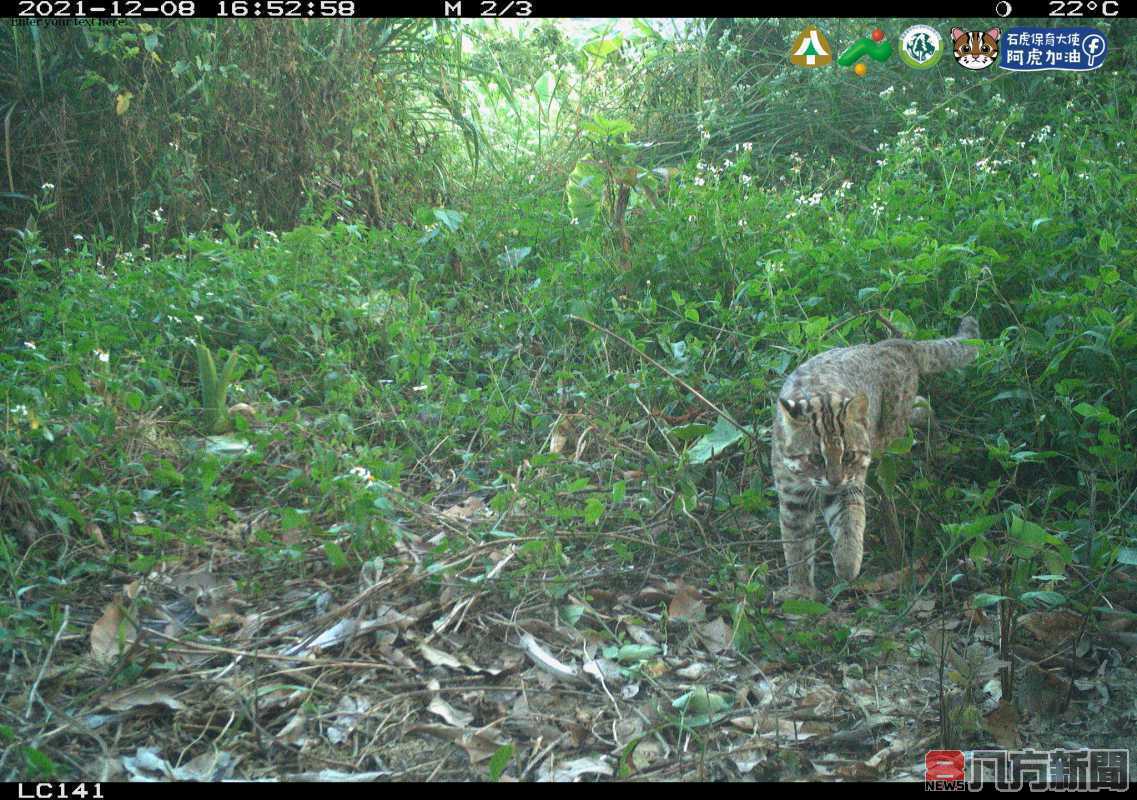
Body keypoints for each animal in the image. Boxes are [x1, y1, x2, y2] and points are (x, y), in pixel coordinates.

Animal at [773, 315, 977, 595]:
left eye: (848, 455)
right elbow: (794, 544)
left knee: (921, 407)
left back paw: (940, 445)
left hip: (890, 436)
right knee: (922, 404)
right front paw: (800, 589)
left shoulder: (848, 484)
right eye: (815, 458)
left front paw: (847, 562)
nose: (834, 480)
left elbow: (850, 520)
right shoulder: (792, 496)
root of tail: (891, 344)